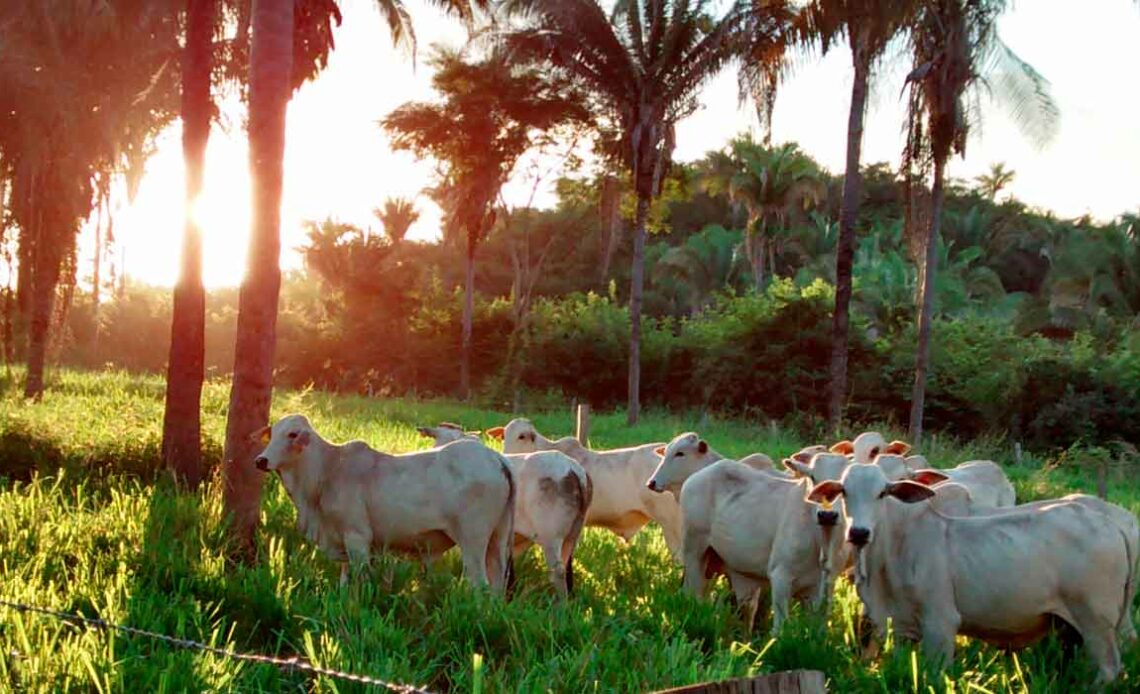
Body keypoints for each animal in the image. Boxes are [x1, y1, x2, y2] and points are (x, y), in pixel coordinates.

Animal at [256, 414, 515, 592]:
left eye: (292, 434)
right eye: (272, 433)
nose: (261, 460)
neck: (327, 470)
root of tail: (495, 458)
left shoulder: (357, 537)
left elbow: (360, 579)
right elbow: (344, 580)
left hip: (473, 540)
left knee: (479, 584)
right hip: (498, 539)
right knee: (497, 584)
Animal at [674, 451, 857, 629]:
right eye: (812, 477)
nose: (827, 515)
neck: (821, 541)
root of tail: (698, 476)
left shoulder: (823, 591)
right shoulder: (780, 577)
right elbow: (780, 629)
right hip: (694, 551)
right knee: (692, 594)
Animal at [807, 460, 1135, 683]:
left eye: (883, 493)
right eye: (844, 491)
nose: (859, 532)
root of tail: (1113, 524)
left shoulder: (941, 623)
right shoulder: (902, 627)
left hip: (1097, 621)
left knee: (1110, 668)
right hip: (1072, 626)